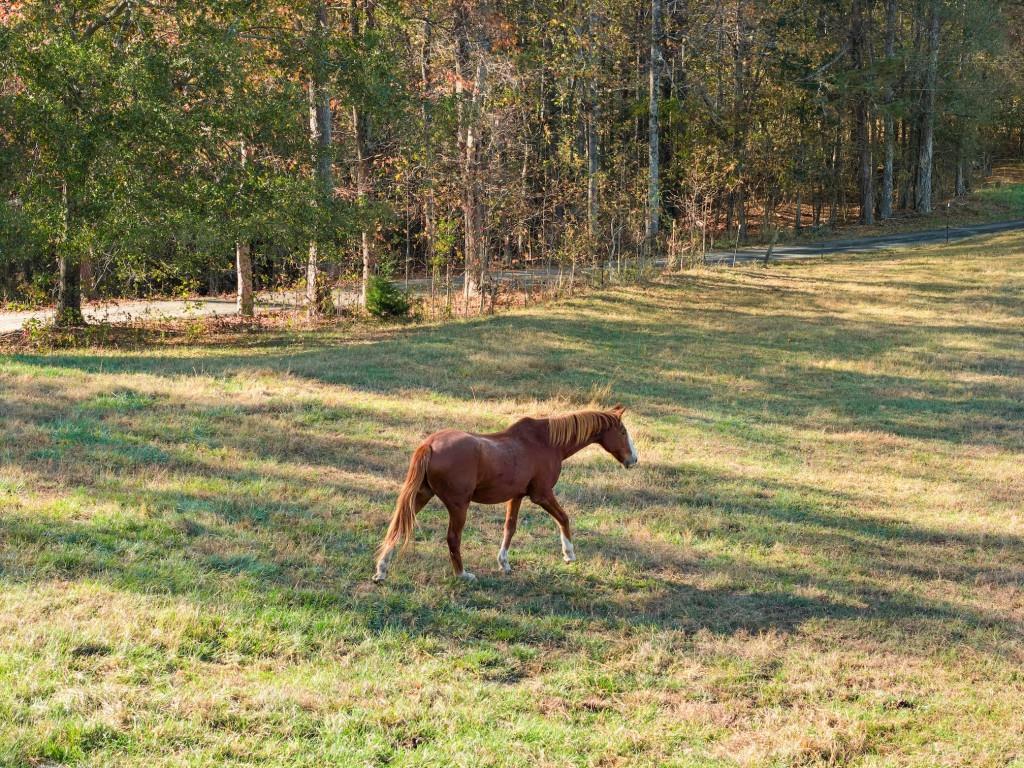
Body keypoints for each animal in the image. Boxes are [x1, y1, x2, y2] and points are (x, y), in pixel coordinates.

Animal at [372, 409, 634, 581]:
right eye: (622, 432)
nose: (633, 459)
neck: (546, 442)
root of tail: (430, 444)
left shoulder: (516, 496)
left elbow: (510, 528)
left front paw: (504, 563)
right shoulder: (542, 495)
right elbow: (564, 518)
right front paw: (569, 554)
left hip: (422, 495)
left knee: (399, 526)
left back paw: (382, 570)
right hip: (458, 505)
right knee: (453, 538)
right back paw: (462, 574)